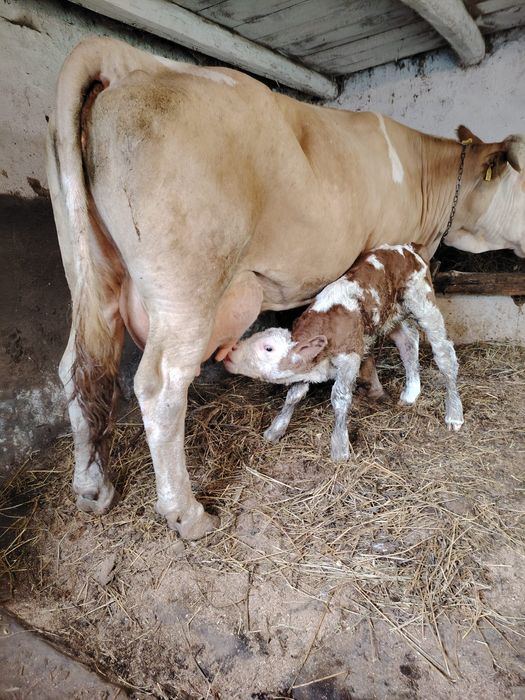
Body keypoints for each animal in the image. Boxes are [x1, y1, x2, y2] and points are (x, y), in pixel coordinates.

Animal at [224, 243, 463, 461]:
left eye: (268, 347)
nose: (230, 350)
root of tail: (408, 247)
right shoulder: (307, 365)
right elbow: (294, 395)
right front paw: (275, 430)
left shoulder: (350, 357)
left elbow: (339, 397)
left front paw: (340, 448)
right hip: (392, 314)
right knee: (408, 341)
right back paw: (411, 392)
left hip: (423, 301)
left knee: (445, 353)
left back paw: (454, 414)